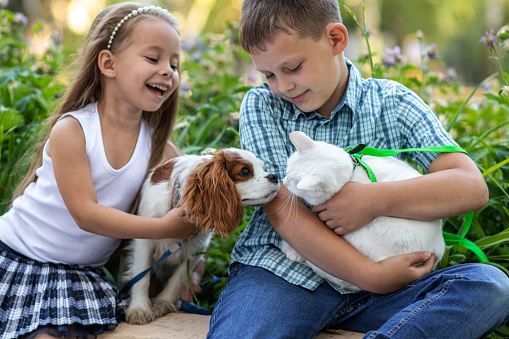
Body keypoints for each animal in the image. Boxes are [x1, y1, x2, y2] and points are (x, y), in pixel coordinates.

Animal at [120, 149, 278, 324]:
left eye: (263, 168)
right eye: (245, 171)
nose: (275, 176)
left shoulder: (196, 247)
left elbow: (179, 278)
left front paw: (163, 301)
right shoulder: (144, 241)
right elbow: (142, 276)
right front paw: (139, 308)